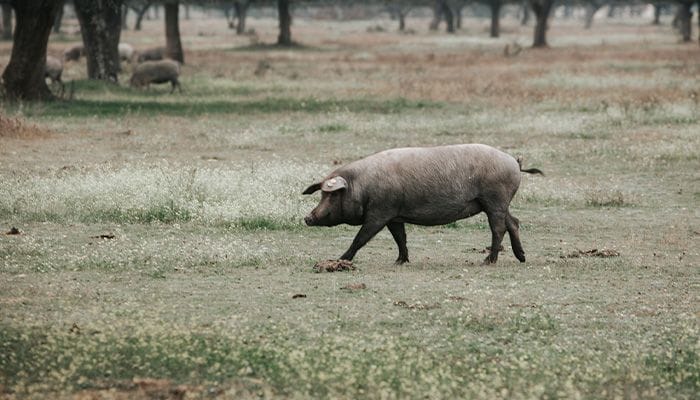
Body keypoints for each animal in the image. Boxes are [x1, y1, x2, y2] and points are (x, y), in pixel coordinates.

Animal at [304, 145, 544, 266]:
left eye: (331, 195)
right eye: (322, 193)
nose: (308, 217)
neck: (361, 185)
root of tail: (514, 162)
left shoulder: (380, 212)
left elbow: (361, 238)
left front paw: (340, 259)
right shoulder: (394, 215)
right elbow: (400, 238)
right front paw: (400, 262)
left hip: (495, 199)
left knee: (499, 228)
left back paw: (488, 261)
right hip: (500, 203)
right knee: (514, 222)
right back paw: (521, 258)